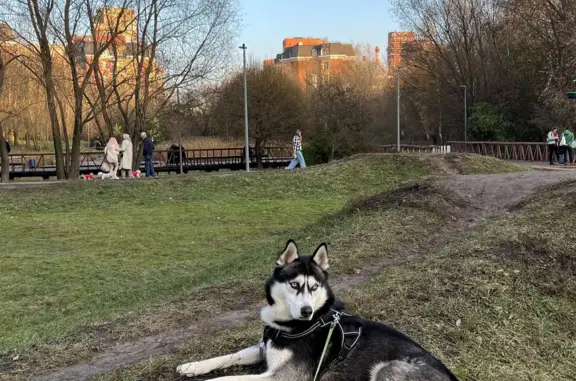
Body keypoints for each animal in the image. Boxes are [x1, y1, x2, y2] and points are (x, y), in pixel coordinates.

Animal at [177, 240, 460, 380]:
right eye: (294, 285)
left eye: (314, 287)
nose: (306, 311)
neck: (294, 327)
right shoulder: (264, 348)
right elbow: (229, 356)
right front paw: (191, 366)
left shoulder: (283, 378)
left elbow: (225, 380)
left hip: (387, 369)